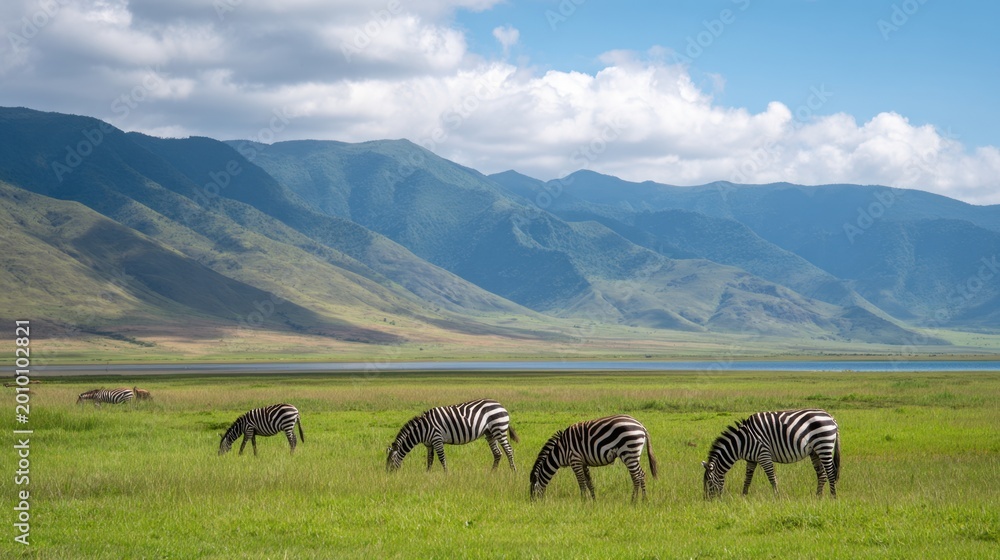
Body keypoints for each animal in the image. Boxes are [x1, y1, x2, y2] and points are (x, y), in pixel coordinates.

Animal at [386, 399, 519, 472]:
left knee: (509, 450)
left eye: (390, 461)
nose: (388, 475)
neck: (422, 429)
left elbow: (442, 458)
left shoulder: (437, 439)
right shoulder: (429, 444)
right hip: (490, 433)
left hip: (499, 428)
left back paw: (514, 472)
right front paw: (427, 474)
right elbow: (430, 460)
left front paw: (446, 474)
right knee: (498, 453)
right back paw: (492, 473)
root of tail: (501, 405)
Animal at [702, 408, 841, 499]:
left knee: (830, 472)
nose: (707, 501)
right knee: (822, 474)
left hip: (824, 445)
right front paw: (744, 496)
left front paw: (777, 496)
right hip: (815, 451)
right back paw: (818, 496)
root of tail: (831, 418)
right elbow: (748, 478)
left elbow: (771, 477)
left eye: (709, 483)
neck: (742, 442)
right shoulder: (751, 459)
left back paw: (833, 497)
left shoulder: (764, 455)